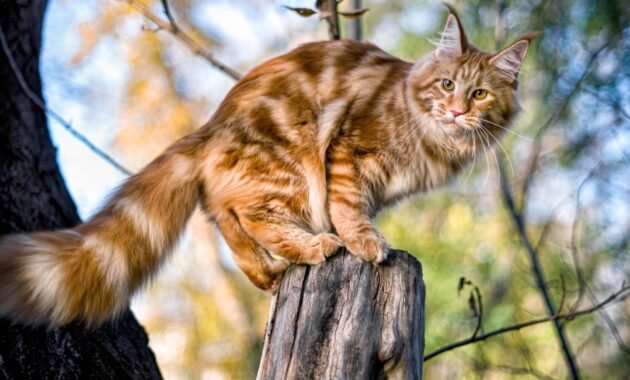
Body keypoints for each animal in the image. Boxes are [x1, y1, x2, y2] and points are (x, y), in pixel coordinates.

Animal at [0, 5, 540, 326]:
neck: (433, 136)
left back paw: (268, 272)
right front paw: (364, 243)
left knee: (226, 219)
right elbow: (349, 208)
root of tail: (209, 127)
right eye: (447, 85)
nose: (458, 111)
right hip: (290, 161)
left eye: (479, 94)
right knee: (249, 213)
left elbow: (352, 209)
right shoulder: (350, 151)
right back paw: (316, 247)